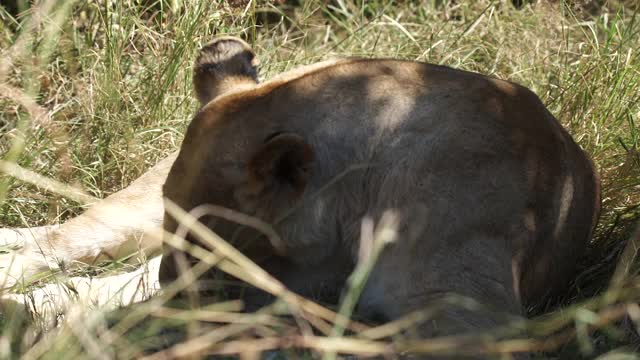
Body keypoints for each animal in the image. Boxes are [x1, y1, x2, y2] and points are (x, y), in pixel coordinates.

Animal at [0, 36, 600, 358]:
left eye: (207, 235)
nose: (176, 286)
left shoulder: (470, 323)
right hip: (133, 211)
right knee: (64, 243)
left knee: (100, 285)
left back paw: (32, 312)